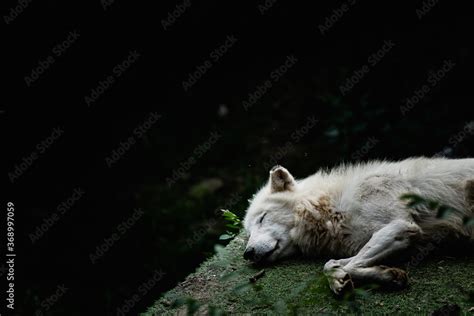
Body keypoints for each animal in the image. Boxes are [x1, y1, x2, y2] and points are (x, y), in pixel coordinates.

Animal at [244, 157, 474, 294]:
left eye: (262, 218)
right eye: (248, 232)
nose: (247, 253)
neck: (332, 207)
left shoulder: (401, 226)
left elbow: (349, 265)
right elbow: (330, 263)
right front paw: (385, 275)